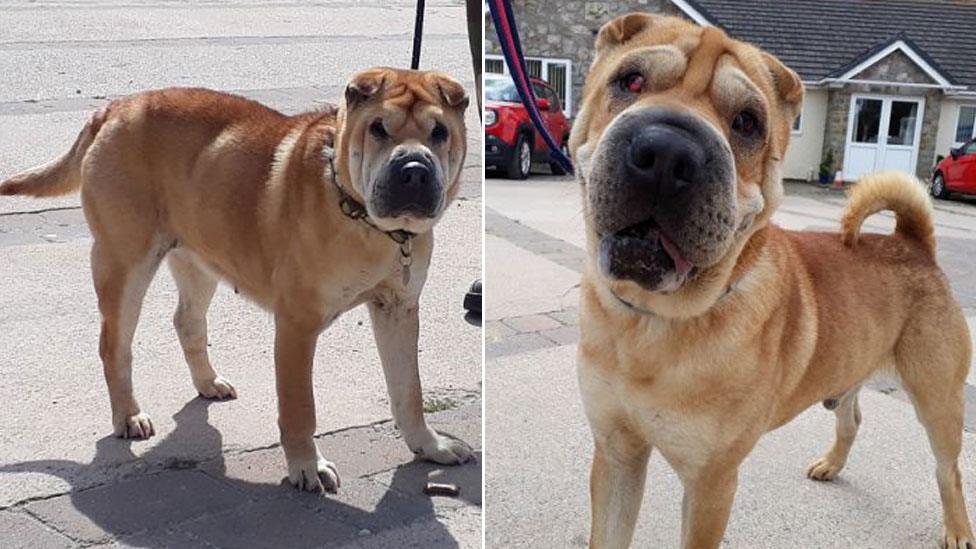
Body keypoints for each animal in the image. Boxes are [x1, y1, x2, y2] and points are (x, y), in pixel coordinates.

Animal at [0, 67, 472, 492]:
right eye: (377, 129)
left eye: (439, 133)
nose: (414, 168)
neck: (363, 218)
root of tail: (115, 107)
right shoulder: (297, 326)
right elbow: (300, 406)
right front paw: (307, 467)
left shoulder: (398, 310)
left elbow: (409, 390)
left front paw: (429, 446)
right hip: (124, 264)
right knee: (114, 346)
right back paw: (128, 415)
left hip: (198, 259)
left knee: (187, 322)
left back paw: (208, 383)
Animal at [572, 12, 976, 548]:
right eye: (631, 80)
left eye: (747, 121)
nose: (667, 152)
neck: (653, 323)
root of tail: (914, 244)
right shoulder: (617, 453)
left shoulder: (711, 482)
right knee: (851, 418)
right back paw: (831, 464)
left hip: (938, 398)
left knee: (948, 468)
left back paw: (957, 528)